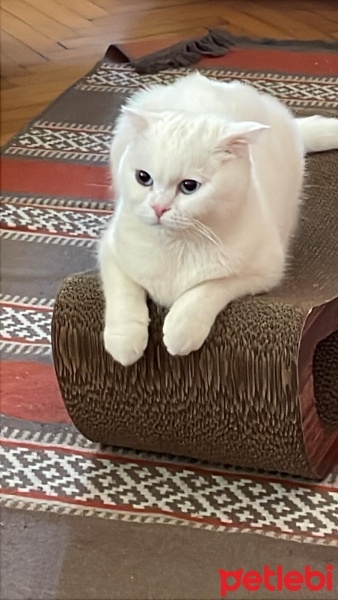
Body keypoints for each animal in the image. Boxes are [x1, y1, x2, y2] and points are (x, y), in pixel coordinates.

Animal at [99, 74, 338, 366]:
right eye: (143, 177)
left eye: (189, 186)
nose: (158, 207)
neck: (177, 246)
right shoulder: (110, 249)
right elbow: (124, 294)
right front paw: (124, 341)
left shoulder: (263, 273)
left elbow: (206, 289)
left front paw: (181, 328)